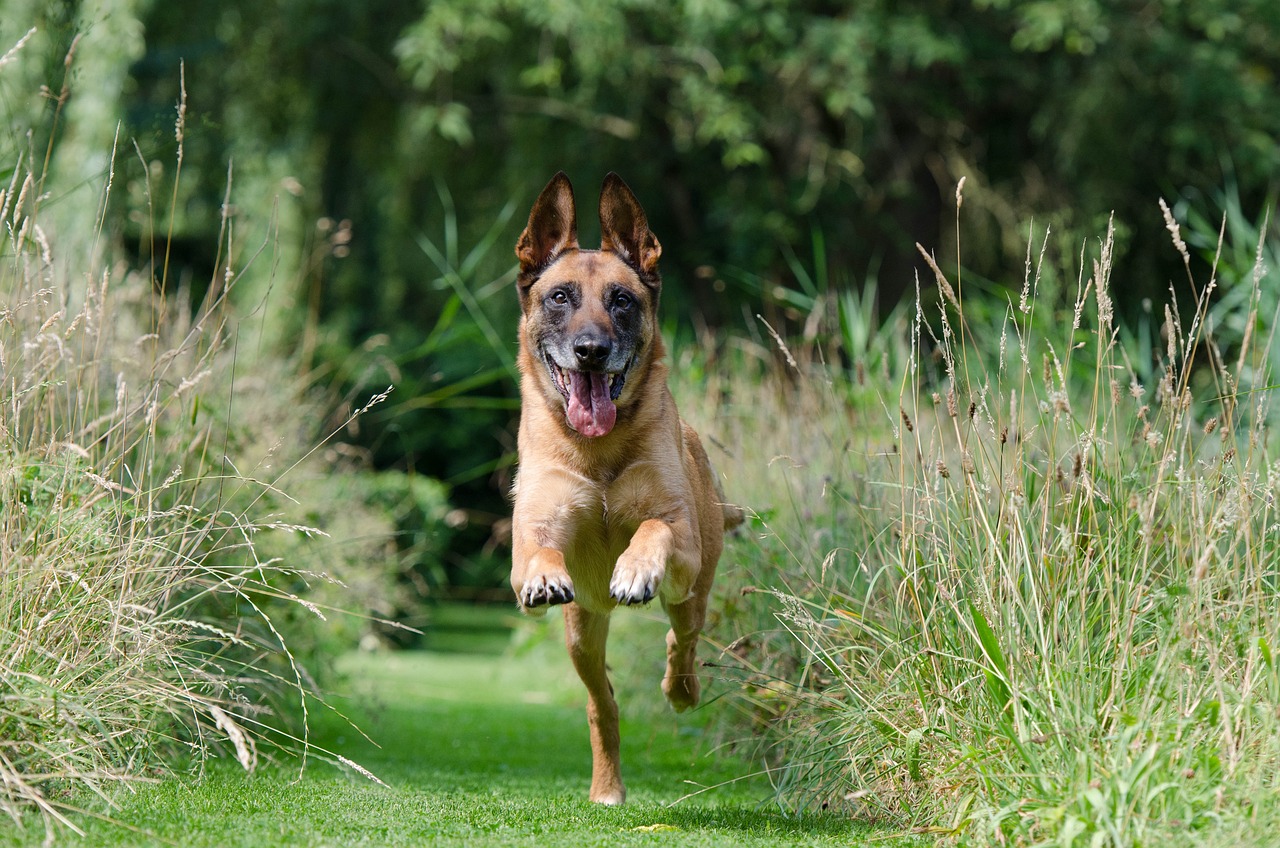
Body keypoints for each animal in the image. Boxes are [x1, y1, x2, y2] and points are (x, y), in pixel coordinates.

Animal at [504, 171, 742, 804]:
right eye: (560, 297)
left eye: (622, 300)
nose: (591, 350)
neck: (599, 451)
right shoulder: (534, 529)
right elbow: (537, 550)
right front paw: (544, 576)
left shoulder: (679, 534)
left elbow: (654, 527)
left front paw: (634, 569)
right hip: (581, 633)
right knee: (602, 703)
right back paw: (607, 785)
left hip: (692, 591)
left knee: (682, 642)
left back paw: (681, 689)